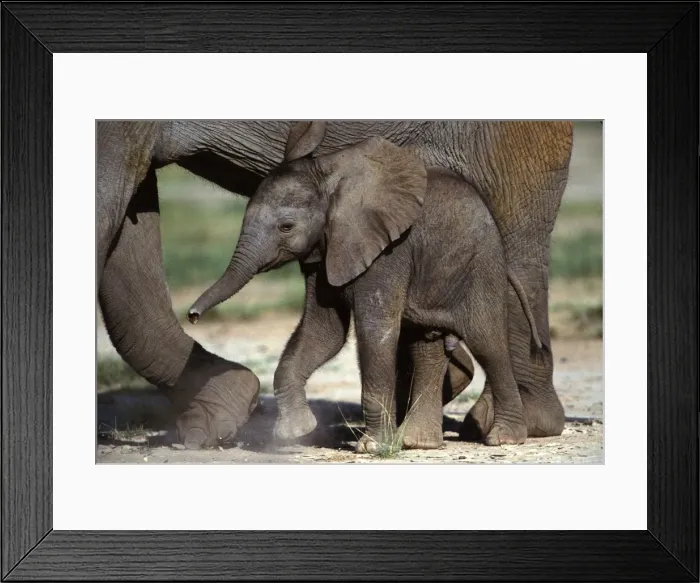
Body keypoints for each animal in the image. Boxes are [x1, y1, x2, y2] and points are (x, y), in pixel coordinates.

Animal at [97, 119, 572, 449]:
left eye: (287, 226)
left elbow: (375, 331)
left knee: (488, 334)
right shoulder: (328, 251)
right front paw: (294, 433)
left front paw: (371, 447)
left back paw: (503, 435)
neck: (336, 182)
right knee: (426, 340)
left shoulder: (386, 252)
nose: (193, 314)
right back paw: (421, 440)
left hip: (489, 231)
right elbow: (322, 332)